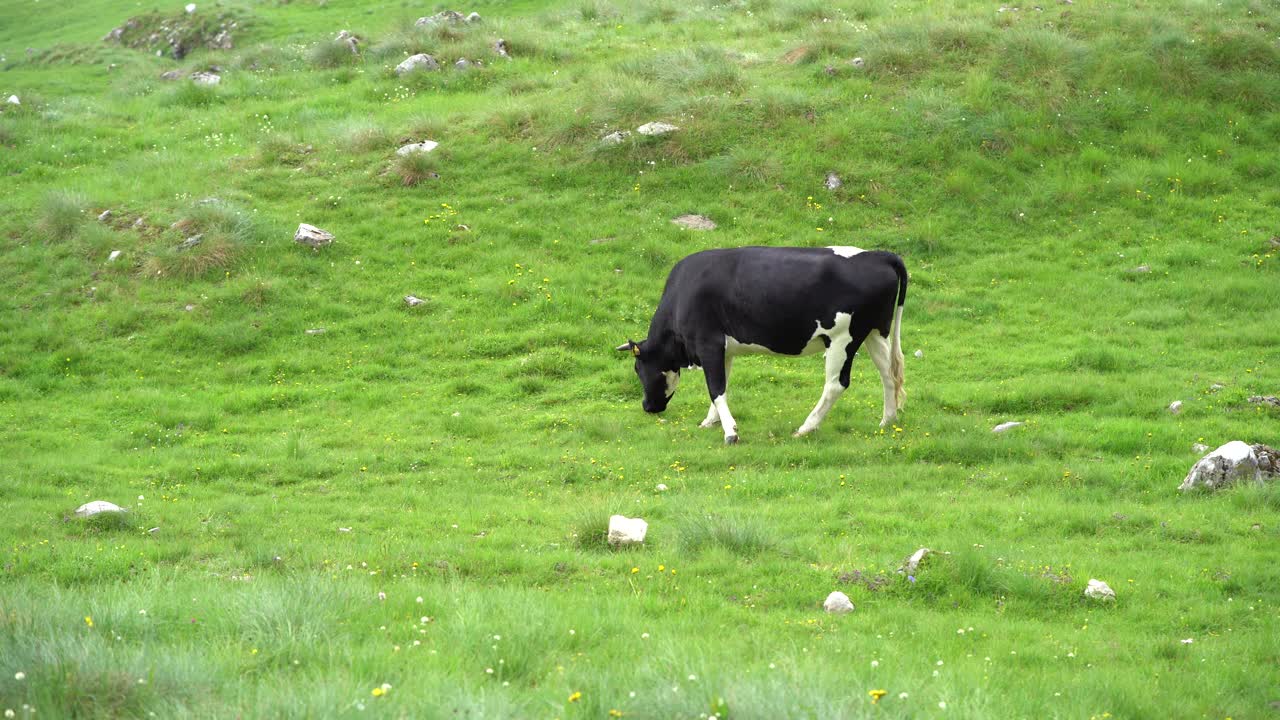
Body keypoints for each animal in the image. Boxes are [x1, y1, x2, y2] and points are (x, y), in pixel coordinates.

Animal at [619, 243, 911, 440]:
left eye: (638, 369)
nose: (647, 407)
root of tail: (879, 255)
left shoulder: (707, 343)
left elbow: (715, 388)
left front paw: (730, 432)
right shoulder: (723, 350)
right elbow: (721, 385)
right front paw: (710, 421)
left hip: (843, 338)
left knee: (836, 384)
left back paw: (806, 427)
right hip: (876, 332)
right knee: (889, 375)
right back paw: (888, 420)